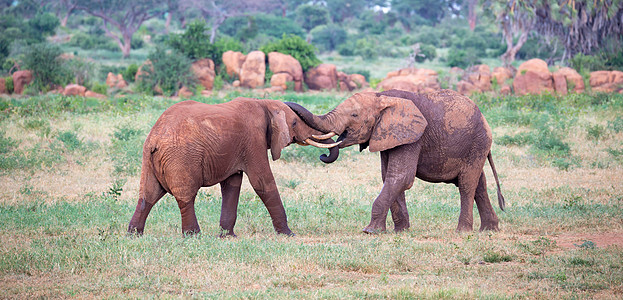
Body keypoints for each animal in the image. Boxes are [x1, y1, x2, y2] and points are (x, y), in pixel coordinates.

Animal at [128, 98, 342, 237]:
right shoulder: (253, 139)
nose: (323, 156)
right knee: (185, 196)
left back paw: (134, 234)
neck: (265, 103)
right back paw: (193, 235)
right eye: (295, 123)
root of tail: (155, 138)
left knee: (148, 194)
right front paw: (289, 234)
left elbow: (232, 185)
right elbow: (262, 181)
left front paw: (227, 236)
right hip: (181, 157)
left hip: (149, 159)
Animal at [288, 88, 508, 233]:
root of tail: (484, 119)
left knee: (467, 183)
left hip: (477, 142)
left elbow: (401, 177)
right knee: (480, 184)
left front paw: (369, 231)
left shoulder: (413, 136)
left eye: (354, 115)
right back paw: (489, 230)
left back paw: (463, 231)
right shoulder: (388, 134)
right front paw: (400, 231)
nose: (323, 155)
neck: (382, 96)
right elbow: (389, 177)